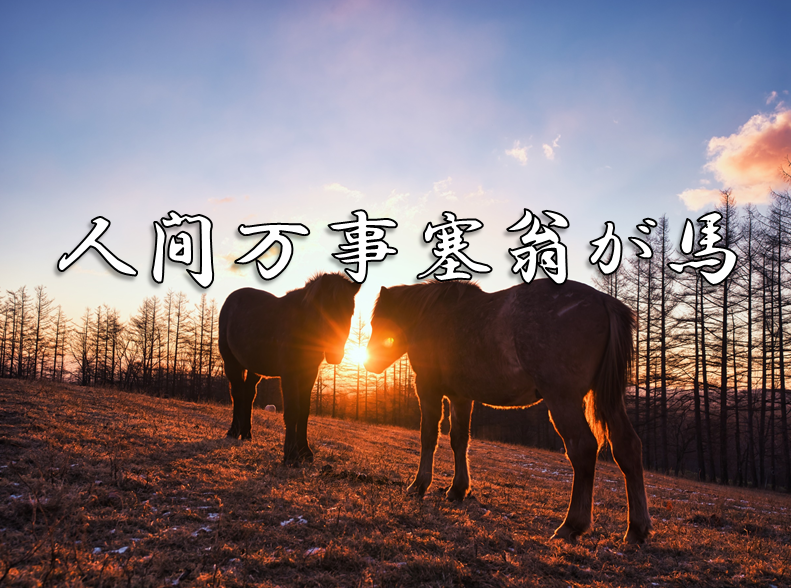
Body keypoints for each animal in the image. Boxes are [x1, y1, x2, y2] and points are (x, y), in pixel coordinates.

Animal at [219, 272, 360, 464]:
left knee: (248, 394)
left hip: (253, 368)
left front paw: (305, 452)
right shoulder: (289, 374)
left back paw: (246, 434)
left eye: (350, 311)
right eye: (325, 310)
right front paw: (291, 456)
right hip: (231, 363)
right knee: (237, 394)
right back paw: (233, 431)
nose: (334, 354)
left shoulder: (309, 374)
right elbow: (293, 411)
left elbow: (304, 412)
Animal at [364, 279, 651, 543]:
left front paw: (419, 485)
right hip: (610, 401)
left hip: (563, 399)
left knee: (583, 448)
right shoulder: (460, 397)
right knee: (628, 447)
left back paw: (572, 524)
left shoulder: (428, 389)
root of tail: (604, 300)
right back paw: (636, 529)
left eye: (378, 322)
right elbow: (459, 440)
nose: (369, 363)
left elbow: (428, 437)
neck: (432, 315)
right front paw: (458, 489)